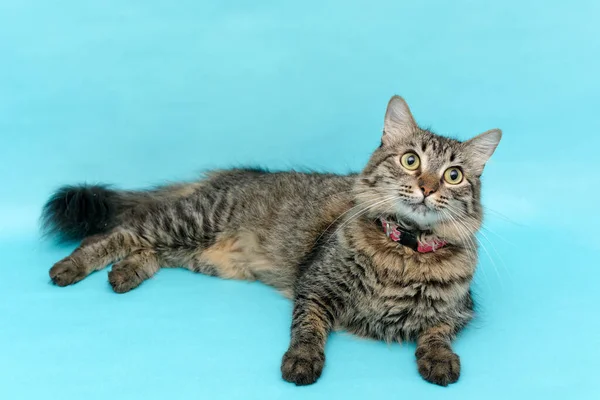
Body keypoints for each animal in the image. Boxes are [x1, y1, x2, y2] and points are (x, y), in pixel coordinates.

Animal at [43, 95, 502, 386]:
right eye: (411, 161)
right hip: (189, 221)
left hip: (196, 251)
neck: (404, 251)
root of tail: (228, 175)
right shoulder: (315, 287)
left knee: (147, 251)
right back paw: (69, 268)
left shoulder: (460, 309)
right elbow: (308, 328)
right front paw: (301, 362)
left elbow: (437, 332)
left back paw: (124, 275)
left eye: (453, 175)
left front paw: (439, 361)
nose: (427, 188)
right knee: (116, 234)